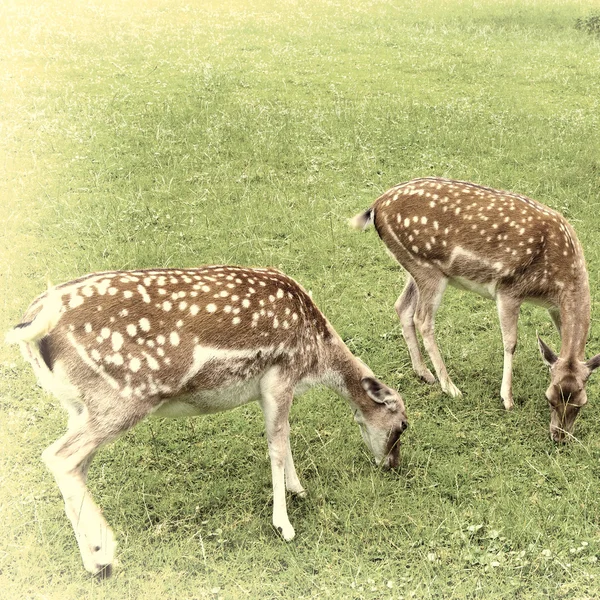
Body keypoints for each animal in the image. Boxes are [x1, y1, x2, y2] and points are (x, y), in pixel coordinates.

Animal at [4, 264, 406, 580]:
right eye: (402, 425)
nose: (392, 465)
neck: (314, 358)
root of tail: (32, 326)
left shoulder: (273, 388)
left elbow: (284, 435)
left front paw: (298, 489)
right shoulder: (279, 374)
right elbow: (276, 445)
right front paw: (284, 525)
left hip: (78, 406)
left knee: (73, 464)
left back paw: (92, 561)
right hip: (120, 398)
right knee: (59, 457)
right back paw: (106, 554)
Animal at [352, 176, 600, 442]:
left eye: (581, 403)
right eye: (550, 398)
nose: (559, 437)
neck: (558, 282)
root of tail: (376, 206)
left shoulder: (553, 307)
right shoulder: (509, 289)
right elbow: (511, 342)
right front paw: (507, 399)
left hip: (414, 267)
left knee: (402, 306)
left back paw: (424, 373)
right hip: (427, 269)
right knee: (423, 319)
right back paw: (450, 387)